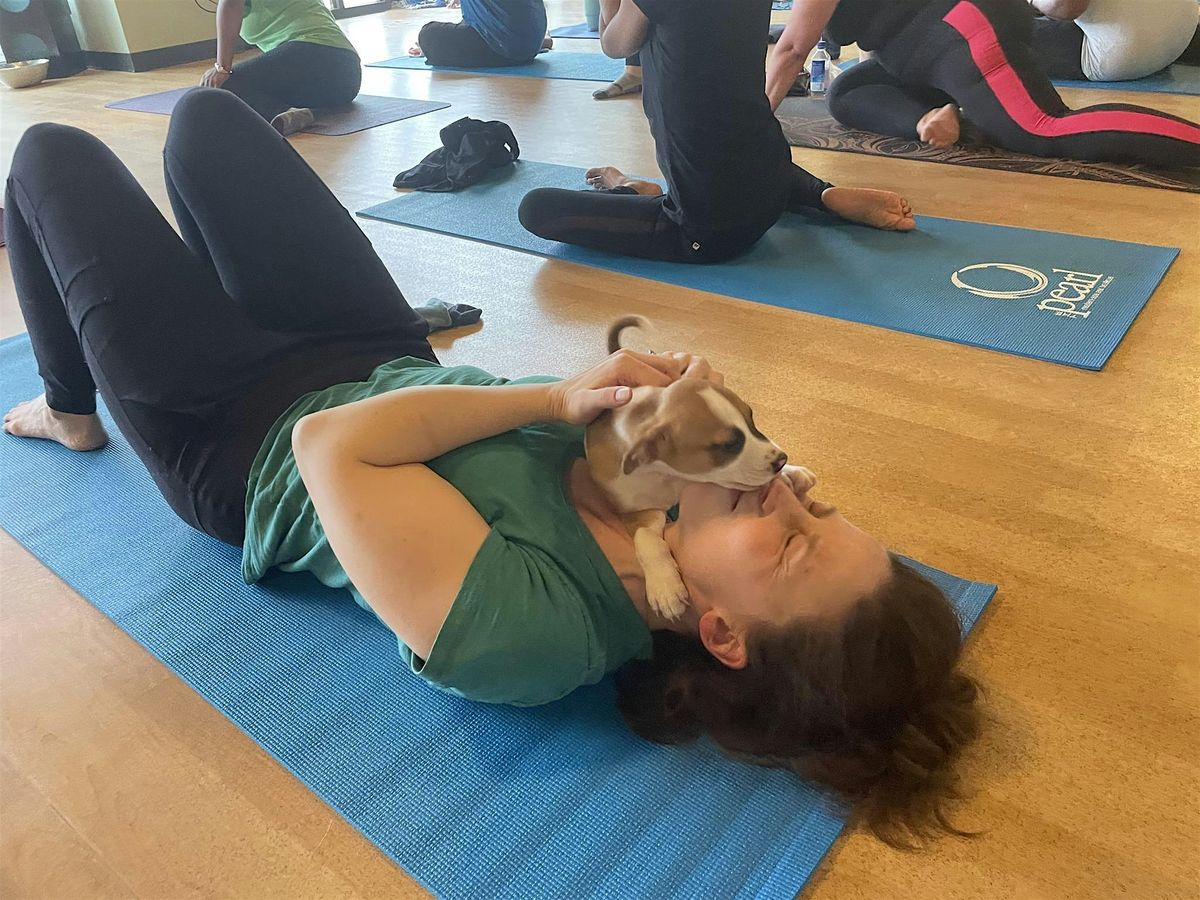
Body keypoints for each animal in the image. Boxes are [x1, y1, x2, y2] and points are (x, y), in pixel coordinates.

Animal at [580, 316, 816, 619]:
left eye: (752, 420)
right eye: (728, 445)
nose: (781, 460)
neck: (666, 476)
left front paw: (792, 472)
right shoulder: (636, 512)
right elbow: (647, 541)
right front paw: (665, 587)